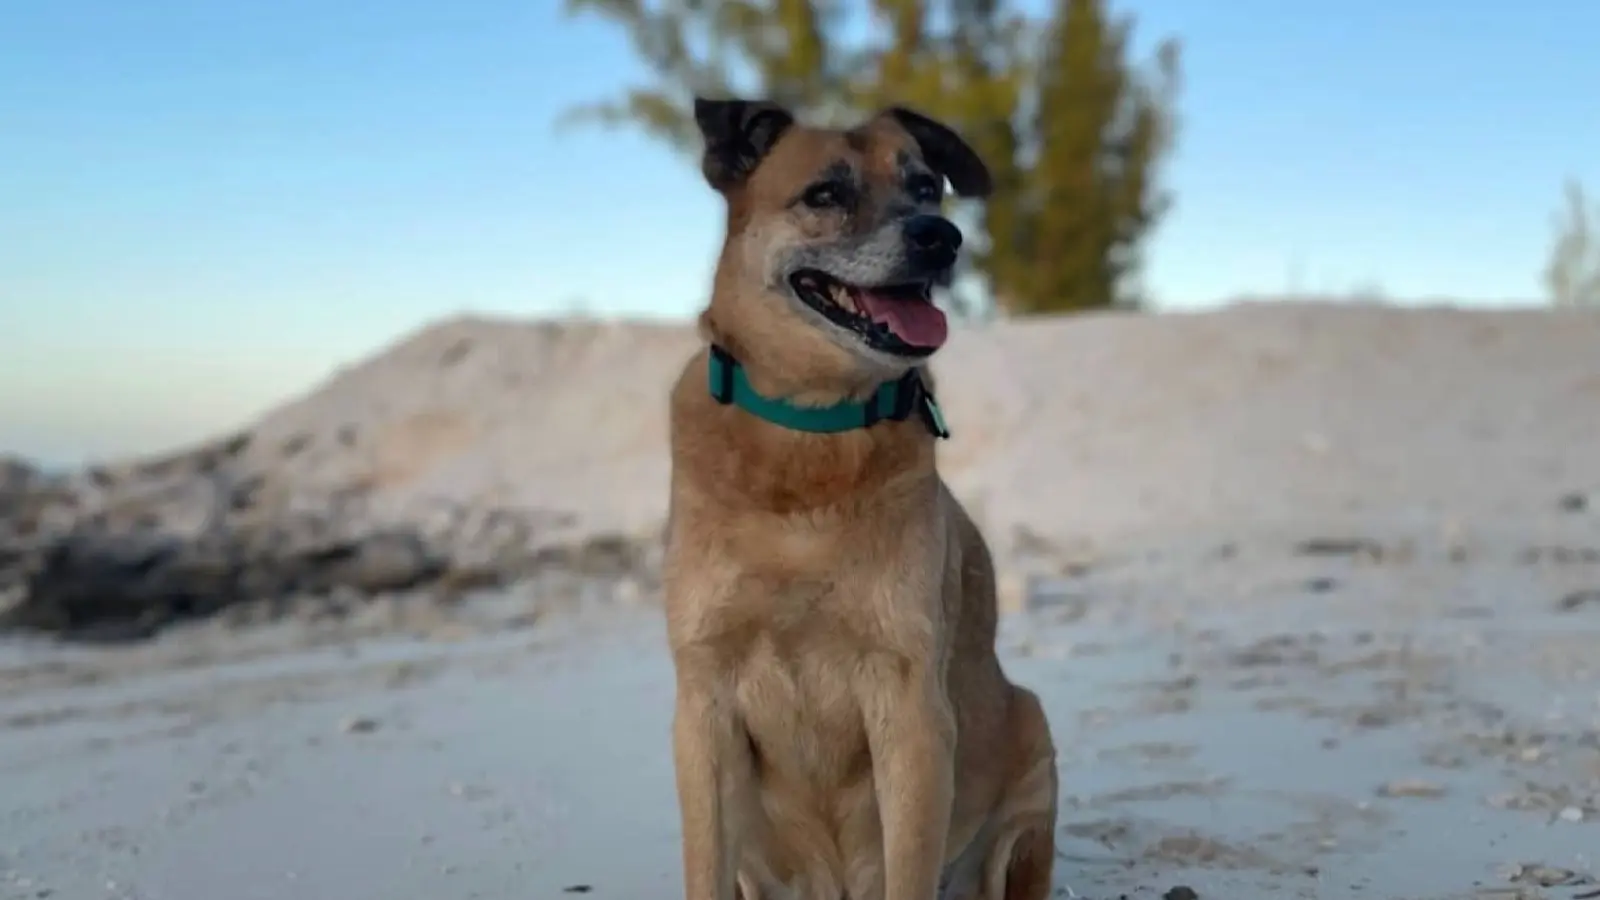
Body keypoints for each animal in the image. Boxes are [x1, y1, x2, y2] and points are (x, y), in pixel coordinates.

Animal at [656, 98, 1056, 896]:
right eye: (825, 194)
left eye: (927, 186)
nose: (939, 237)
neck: (812, 431)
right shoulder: (703, 706)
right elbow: (704, 867)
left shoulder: (910, 707)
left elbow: (909, 867)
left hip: (1033, 742)